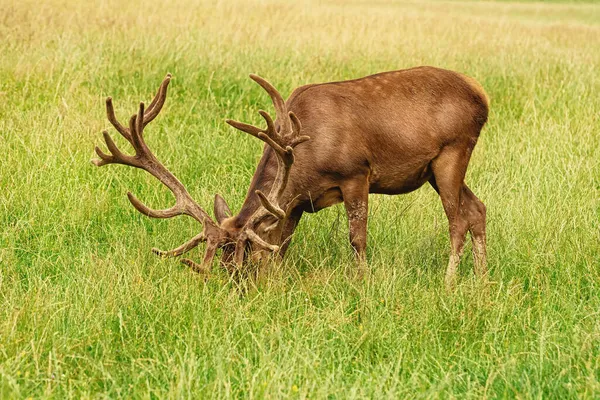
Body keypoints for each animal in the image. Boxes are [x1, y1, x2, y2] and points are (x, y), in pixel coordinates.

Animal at [92, 68, 488, 288]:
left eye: (245, 260)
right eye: (221, 263)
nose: (240, 290)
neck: (306, 159)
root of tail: (482, 94)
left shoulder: (356, 173)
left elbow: (357, 239)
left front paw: (362, 286)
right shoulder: (295, 202)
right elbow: (282, 245)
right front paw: (280, 282)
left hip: (453, 151)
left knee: (457, 219)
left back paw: (449, 283)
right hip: (434, 169)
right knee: (477, 209)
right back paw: (482, 280)